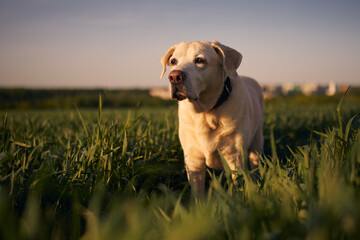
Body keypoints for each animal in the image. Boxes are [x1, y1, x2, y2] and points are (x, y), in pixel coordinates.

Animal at [159, 39, 262, 197]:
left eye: (199, 60)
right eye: (173, 61)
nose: (174, 76)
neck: (205, 113)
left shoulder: (235, 157)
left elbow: (238, 186)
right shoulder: (193, 159)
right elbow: (197, 192)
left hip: (257, 141)